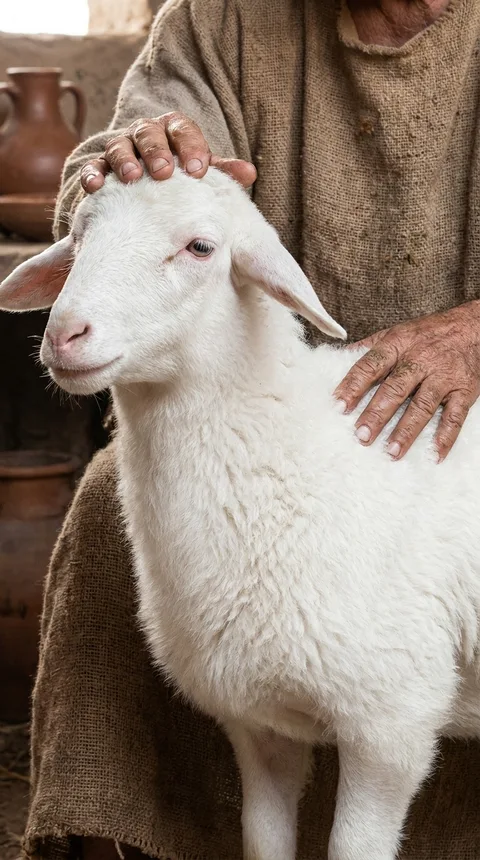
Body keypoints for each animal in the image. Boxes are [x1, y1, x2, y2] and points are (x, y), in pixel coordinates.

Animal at [1, 167, 480, 860]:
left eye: (201, 248)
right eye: (79, 234)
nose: (66, 334)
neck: (289, 453)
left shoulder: (391, 723)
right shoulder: (260, 727)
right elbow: (263, 839)